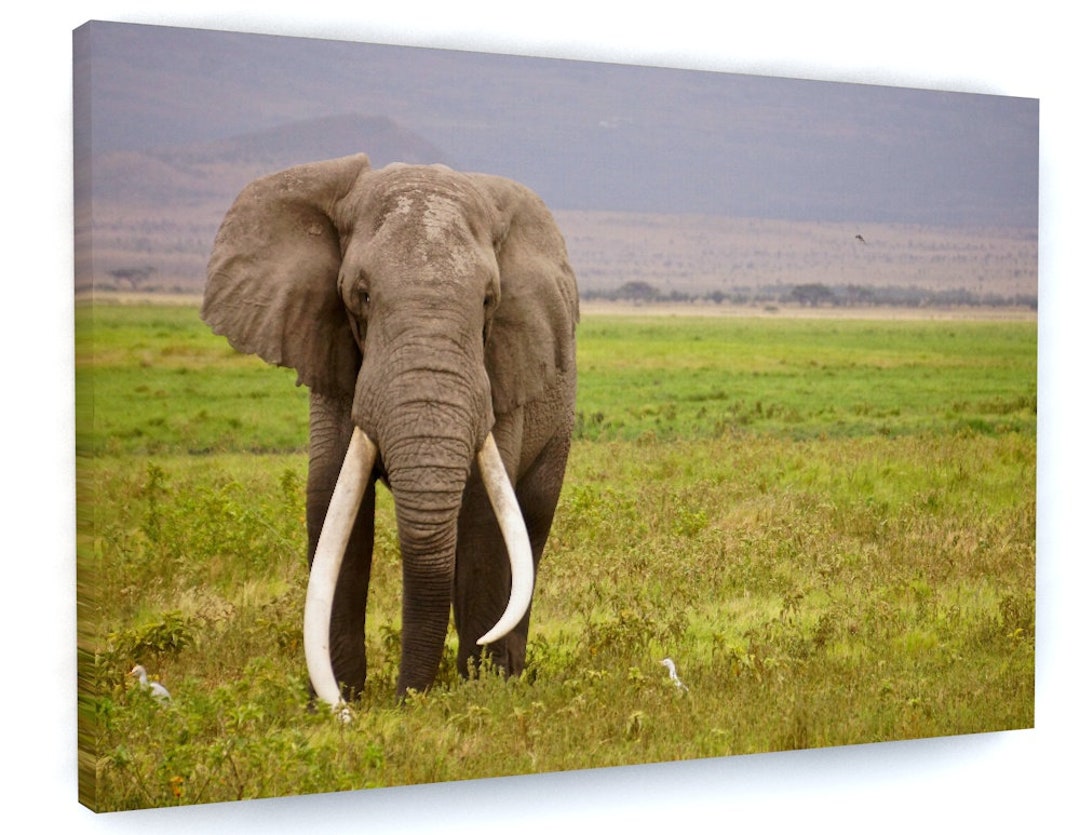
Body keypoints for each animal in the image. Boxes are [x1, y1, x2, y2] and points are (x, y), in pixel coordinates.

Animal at [201, 153, 578, 705]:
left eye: (489, 301)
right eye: (361, 295)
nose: (406, 701)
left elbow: (484, 518)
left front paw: (479, 696)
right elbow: (333, 507)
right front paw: (334, 701)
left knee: (529, 524)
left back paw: (506, 675)